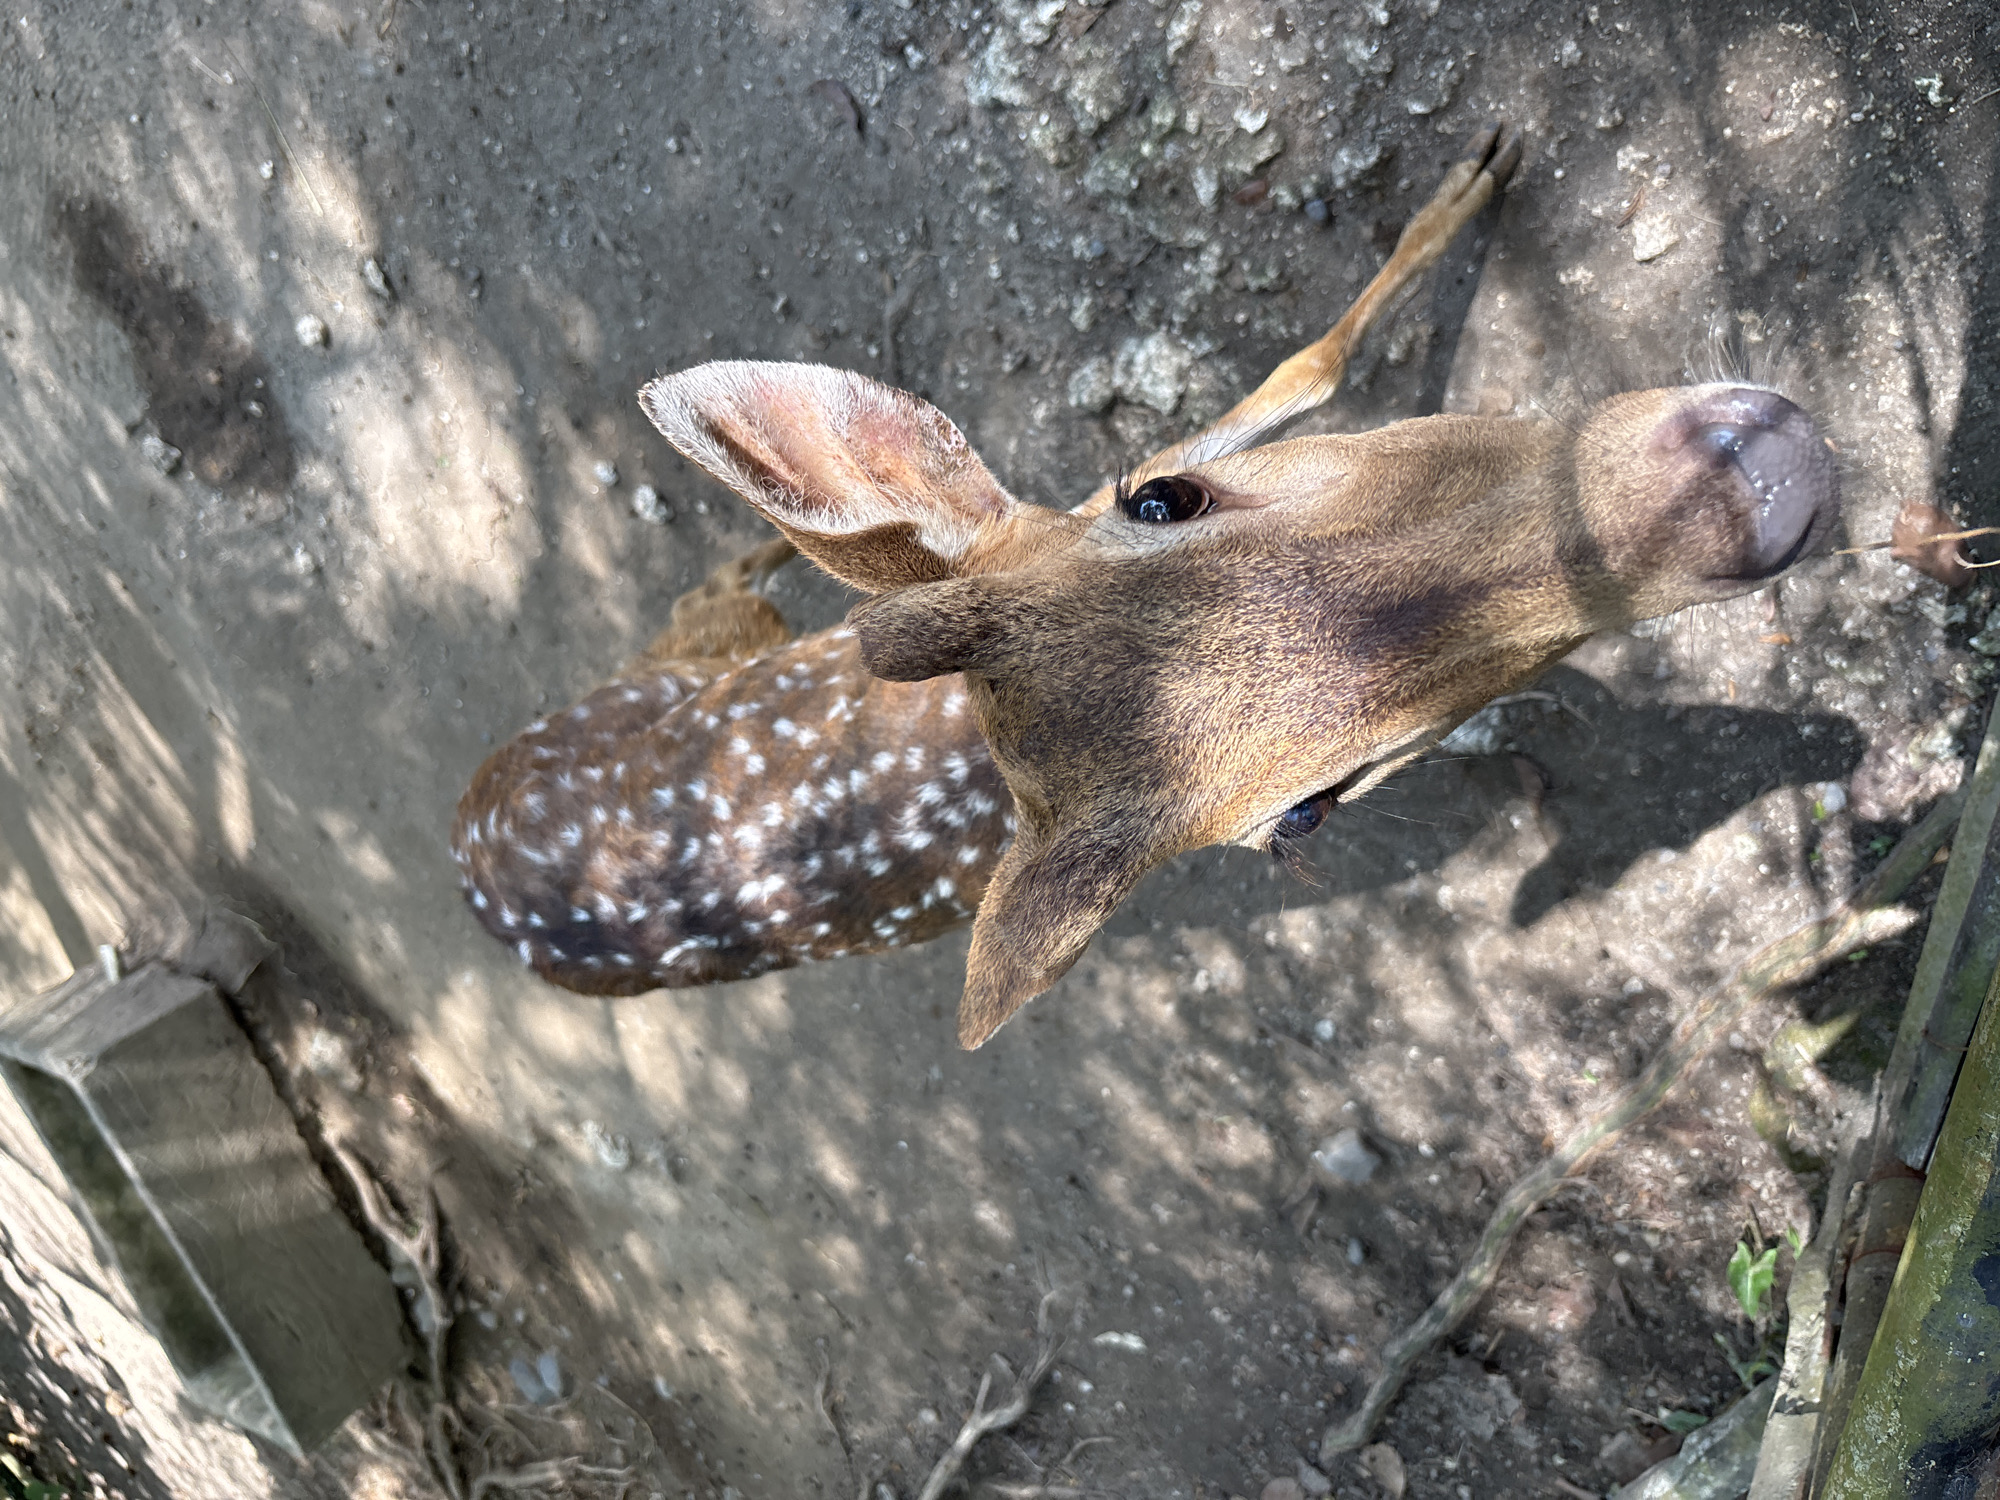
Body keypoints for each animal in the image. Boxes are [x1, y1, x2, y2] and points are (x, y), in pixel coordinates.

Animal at [452, 123, 1840, 1049]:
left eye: (1158, 497)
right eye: (1302, 817)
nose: (1755, 479)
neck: (972, 757)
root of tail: (468, 863)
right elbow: (1309, 359)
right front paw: (1471, 179)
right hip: (685, 656)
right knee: (717, 592)